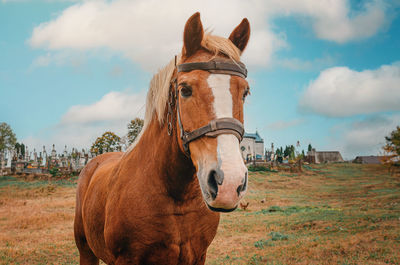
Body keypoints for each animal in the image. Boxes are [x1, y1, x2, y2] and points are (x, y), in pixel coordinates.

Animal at [74, 12, 250, 264]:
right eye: (185, 90)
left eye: (245, 92)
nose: (229, 183)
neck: (176, 197)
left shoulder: (199, 256)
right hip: (85, 250)